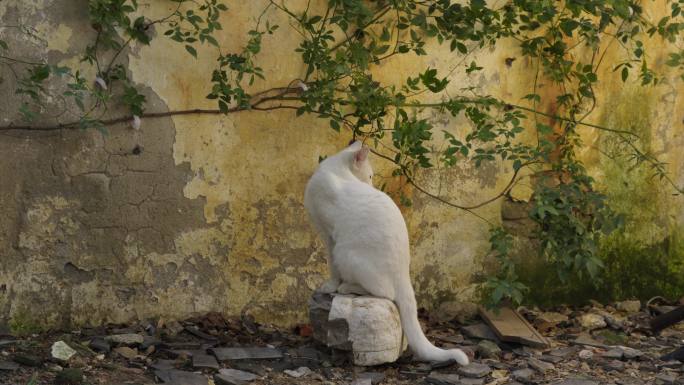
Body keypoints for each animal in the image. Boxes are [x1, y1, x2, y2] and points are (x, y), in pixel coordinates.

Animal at [304, 140, 470, 364]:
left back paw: (347, 287)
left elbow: (331, 267)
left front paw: (330, 285)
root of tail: (404, 273)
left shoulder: (328, 235)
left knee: (384, 293)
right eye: (370, 176)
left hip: (345, 252)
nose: (371, 184)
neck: (335, 169)